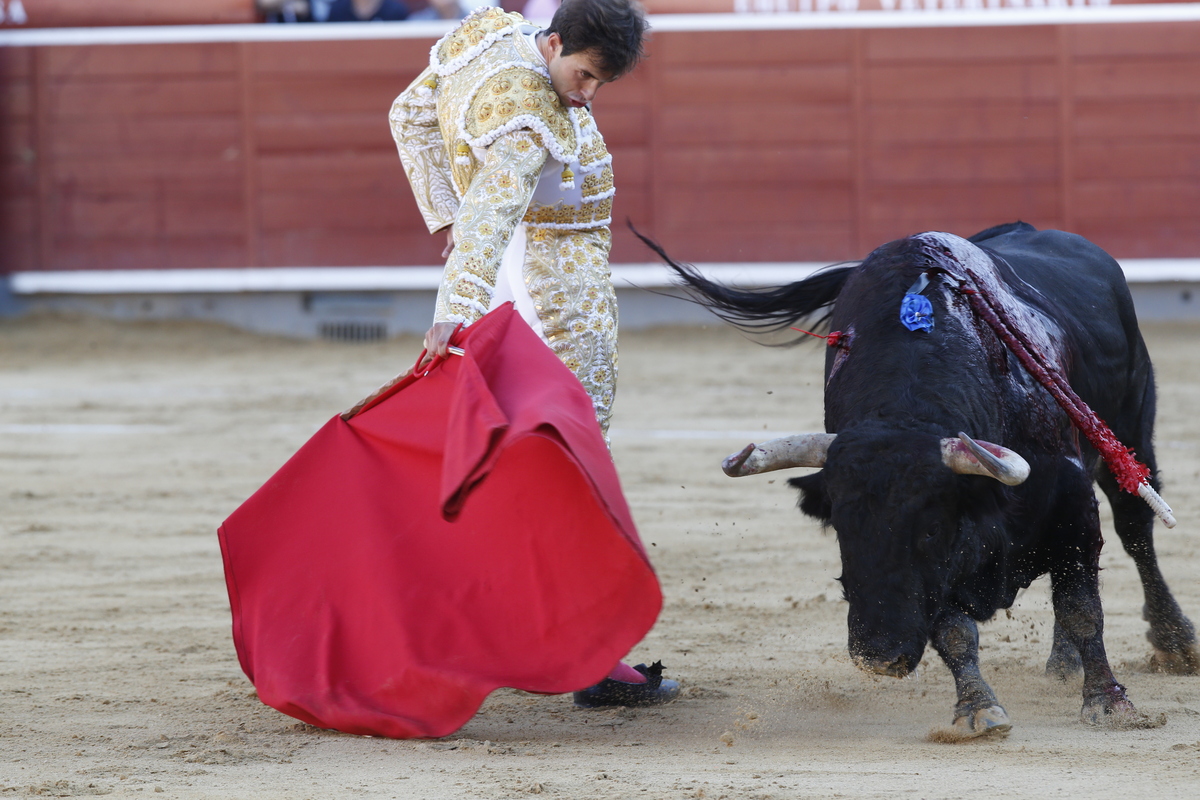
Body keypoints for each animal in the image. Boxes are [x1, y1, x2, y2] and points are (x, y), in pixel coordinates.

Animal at [652, 221, 1195, 734]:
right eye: (841, 529)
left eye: (931, 528)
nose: (878, 655)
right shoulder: (940, 575)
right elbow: (953, 630)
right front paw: (977, 708)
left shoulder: (1072, 501)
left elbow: (1083, 606)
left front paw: (1109, 703)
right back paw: (1063, 664)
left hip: (1131, 425)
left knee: (1134, 531)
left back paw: (1175, 642)